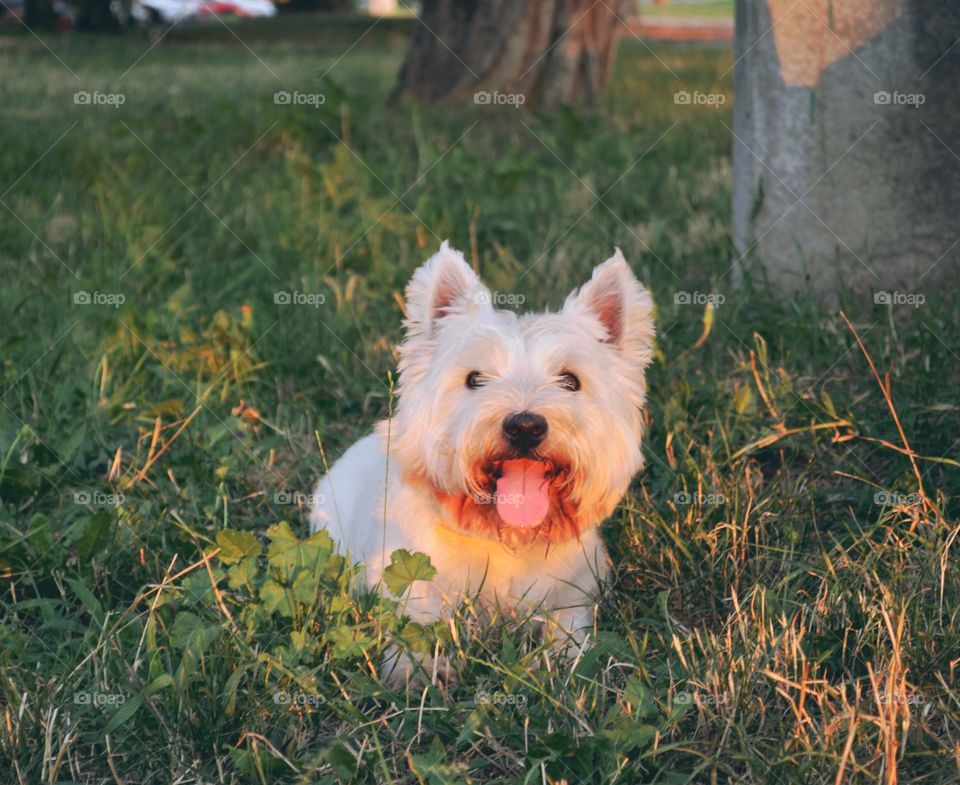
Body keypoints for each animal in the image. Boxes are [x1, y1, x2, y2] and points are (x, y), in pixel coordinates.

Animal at [312, 240, 656, 680]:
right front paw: (415, 672)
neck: (505, 538)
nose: (525, 427)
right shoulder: (406, 580)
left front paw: (564, 662)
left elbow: (570, 634)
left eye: (570, 380)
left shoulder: (574, 593)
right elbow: (412, 626)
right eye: (475, 379)